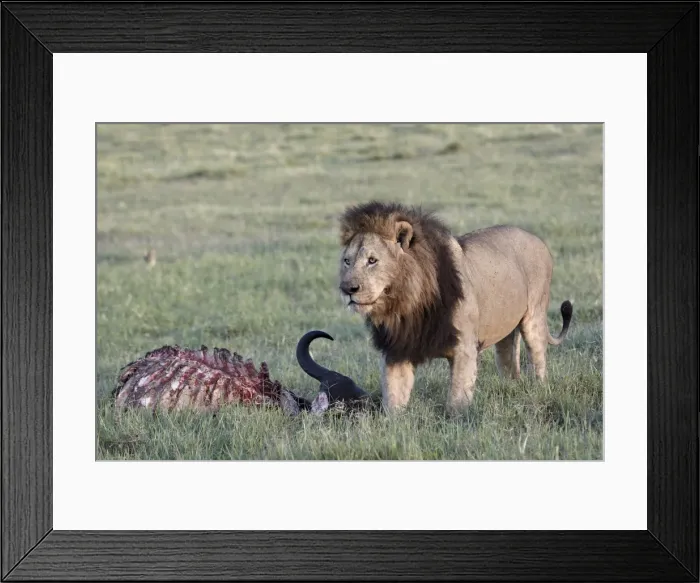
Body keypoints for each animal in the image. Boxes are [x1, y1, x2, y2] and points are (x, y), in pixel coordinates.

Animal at [337, 201, 572, 416]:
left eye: (372, 260)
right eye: (347, 261)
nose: (347, 289)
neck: (406, 305)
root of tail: (537, 238)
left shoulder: (464, 347)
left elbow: (457, 399)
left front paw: (457, 422)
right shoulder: (397, 349)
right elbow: (394, 397)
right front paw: (393, 424)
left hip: (534, 318)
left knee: (538, 361)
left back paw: (540, 390)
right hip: (505, 332)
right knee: (509, 364)